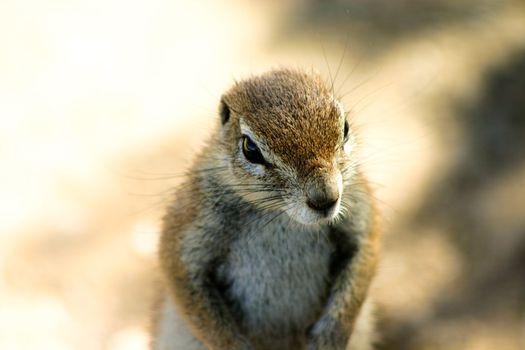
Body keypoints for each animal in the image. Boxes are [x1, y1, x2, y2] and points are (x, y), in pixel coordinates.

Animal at [154, 69, 378, 350]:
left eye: (345, 127)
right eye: (250, 149)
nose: (326, 199)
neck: (282, 217)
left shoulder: (358, 207)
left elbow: (363, 258)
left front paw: (329, 338)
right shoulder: (191, 222)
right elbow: (182, 276)